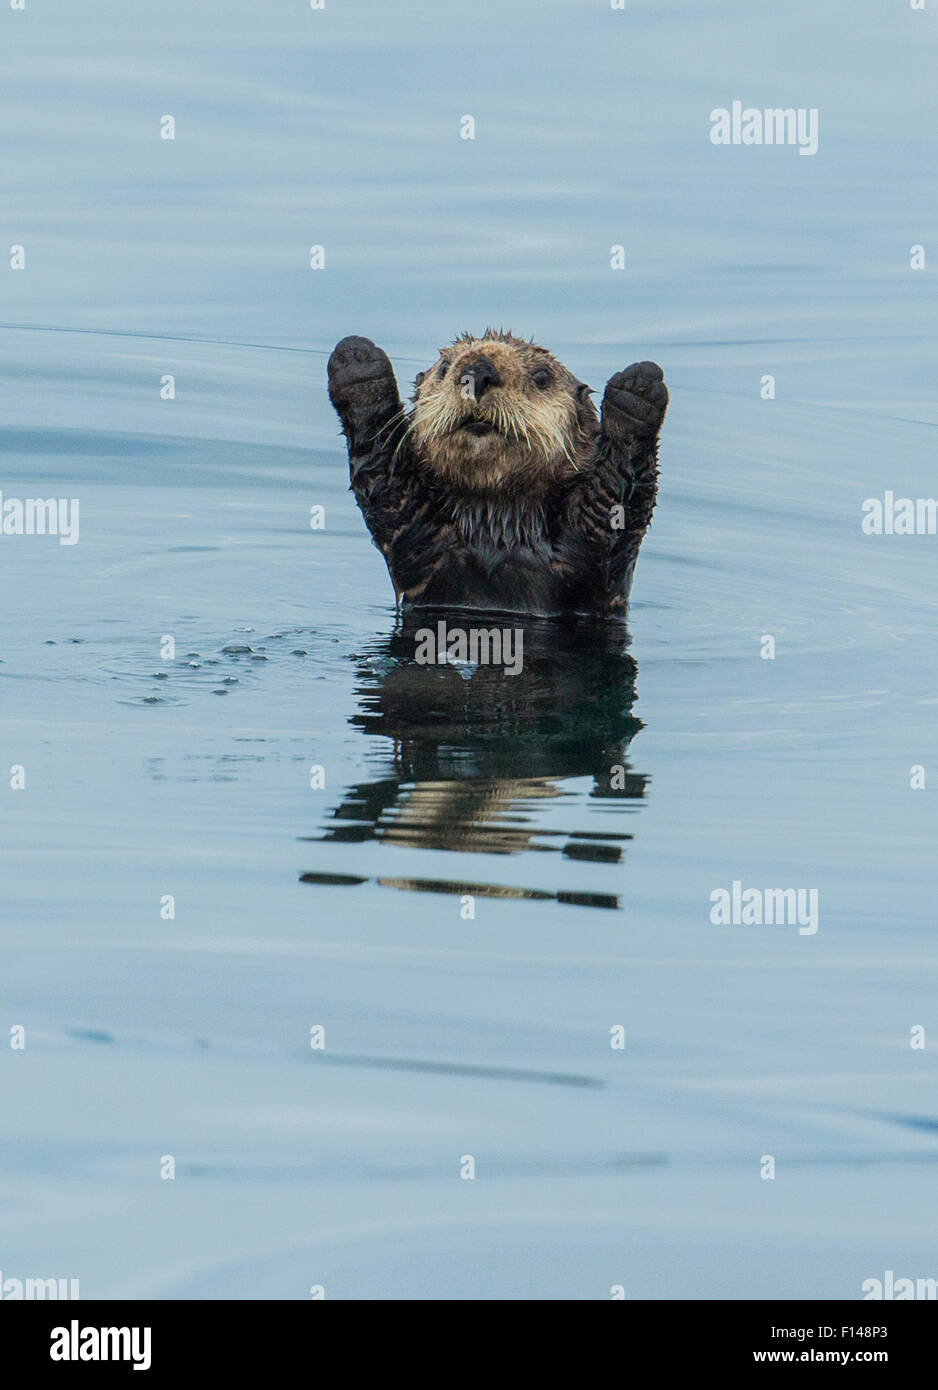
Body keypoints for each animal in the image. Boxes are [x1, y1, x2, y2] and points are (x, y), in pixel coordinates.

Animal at [327, 328, 667, 617]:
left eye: (542, 376)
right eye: (444, 367)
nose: (477, 373)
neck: (498, 527)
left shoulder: (596, 552)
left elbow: (616, 500)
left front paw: (637, 389)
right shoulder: (416, 539)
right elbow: (383, 478)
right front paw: (358, 362)